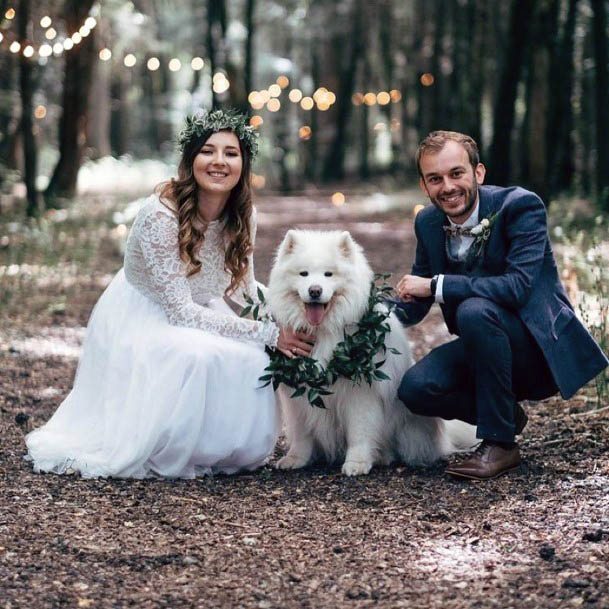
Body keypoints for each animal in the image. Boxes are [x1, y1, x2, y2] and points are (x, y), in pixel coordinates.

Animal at [268, 228, 476, 476]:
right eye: (304, 274)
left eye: (328, 274)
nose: (315, 290)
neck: (324, 330)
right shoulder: (300, 396)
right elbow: (302, 434)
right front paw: (295, 459)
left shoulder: (360, 393)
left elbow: (360, 431)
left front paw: (357, 463)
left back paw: (383, 457)